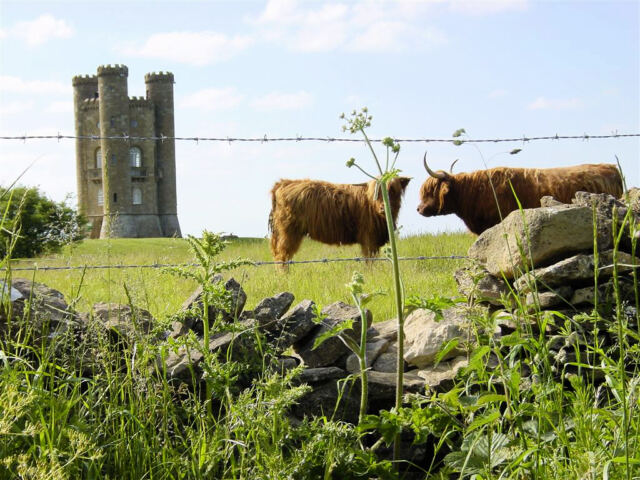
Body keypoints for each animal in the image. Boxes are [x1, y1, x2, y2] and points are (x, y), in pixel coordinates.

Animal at [269, 176, 411, 267]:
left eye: (393, 190)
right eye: (375, 193)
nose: (383, 207)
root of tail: (284, 183)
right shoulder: (369, 239)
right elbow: (370, 260)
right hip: (289, 232)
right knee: (282, 256)